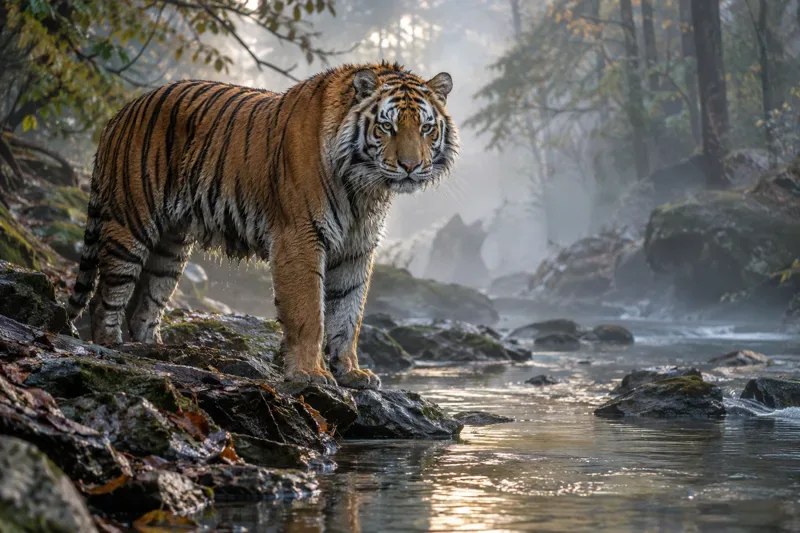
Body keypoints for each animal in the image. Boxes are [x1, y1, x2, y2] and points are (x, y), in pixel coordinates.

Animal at [66, 62, 459, 390]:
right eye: (387, 126)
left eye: (426, 128)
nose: (410, 166)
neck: (365, 187)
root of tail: (121, 112)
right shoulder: (299, 237)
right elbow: (309, 312)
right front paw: (310, 374)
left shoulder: (356, 249)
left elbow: (349, 314)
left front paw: (351, 372)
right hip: (130, 224)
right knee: (105, 297)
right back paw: (111, 345)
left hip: (171, 246)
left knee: (145, 303)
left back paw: (154, 352)